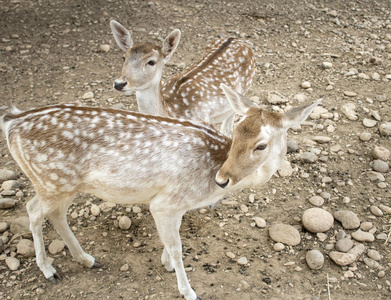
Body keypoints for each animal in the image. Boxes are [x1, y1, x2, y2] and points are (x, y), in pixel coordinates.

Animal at [0, 85, 322, 300]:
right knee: (32, 210)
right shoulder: (167, 203)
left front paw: (166, 264)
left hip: (63, 184)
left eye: (261, 144)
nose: (222, 179)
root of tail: (11, 122)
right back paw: (49, 270)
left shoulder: (173, 206)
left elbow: (170, 243)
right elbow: (178, 247)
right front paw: (188, 290)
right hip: (50, 180)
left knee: (55, 214)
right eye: (236, 131)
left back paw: (87, 259)